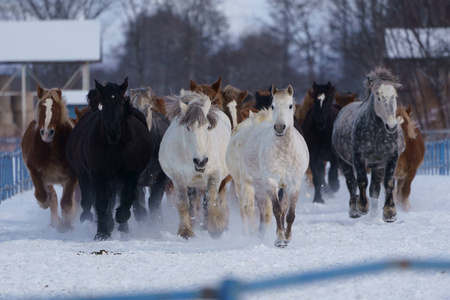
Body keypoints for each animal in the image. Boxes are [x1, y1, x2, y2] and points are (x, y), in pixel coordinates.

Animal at [21, 84, 77, 232]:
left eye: (57, 107)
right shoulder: (35, 172)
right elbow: (42, 195)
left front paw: (66, 225)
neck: (51, 148)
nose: (47, 133)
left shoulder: (72, 175)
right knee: (53, 197)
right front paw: (44, 203)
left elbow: (67, 202)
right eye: (41, 107)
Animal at [65, 78, 153, 240]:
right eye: (104, 103)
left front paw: (120, 219)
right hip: (86, 175)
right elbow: (101, 203)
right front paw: (102, 233)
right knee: (91, 201)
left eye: (121, 103)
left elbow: (127, 199)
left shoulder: (131, 174)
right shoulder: (97, 175)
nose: (113, 132)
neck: (115, 147)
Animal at [159, 90, 232, 238]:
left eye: (208, 126)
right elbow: (183, 203)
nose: (201, 161)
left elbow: (211, 200)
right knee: (192, 200)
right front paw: (185, 231)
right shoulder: (178, 178)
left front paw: (215, 228)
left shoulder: (214, 174)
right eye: (188, 127)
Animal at [229, 84, 310, 246]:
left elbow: (289, 213)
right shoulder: (270, 182)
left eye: (290, 105)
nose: (279, 127)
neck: (284, 152)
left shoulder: (294, 183)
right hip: (256, 184)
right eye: (273, 105)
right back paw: (259, 233)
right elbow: (275, 210)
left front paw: (287, 236)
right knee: (258, 208)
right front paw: (279, 239)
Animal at [332, 68, 406, 223]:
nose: (391, 126)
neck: (376, 133)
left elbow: (389, 182)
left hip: (377, 166)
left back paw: (374, 215)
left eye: (395, 96)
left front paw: (390, 213)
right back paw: (354, 211)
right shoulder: (359, 158)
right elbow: (361, 181)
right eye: (378, 97)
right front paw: (362, 206)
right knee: (351, 183)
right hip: (343, 162)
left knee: (375, 188)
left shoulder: (391, 158)